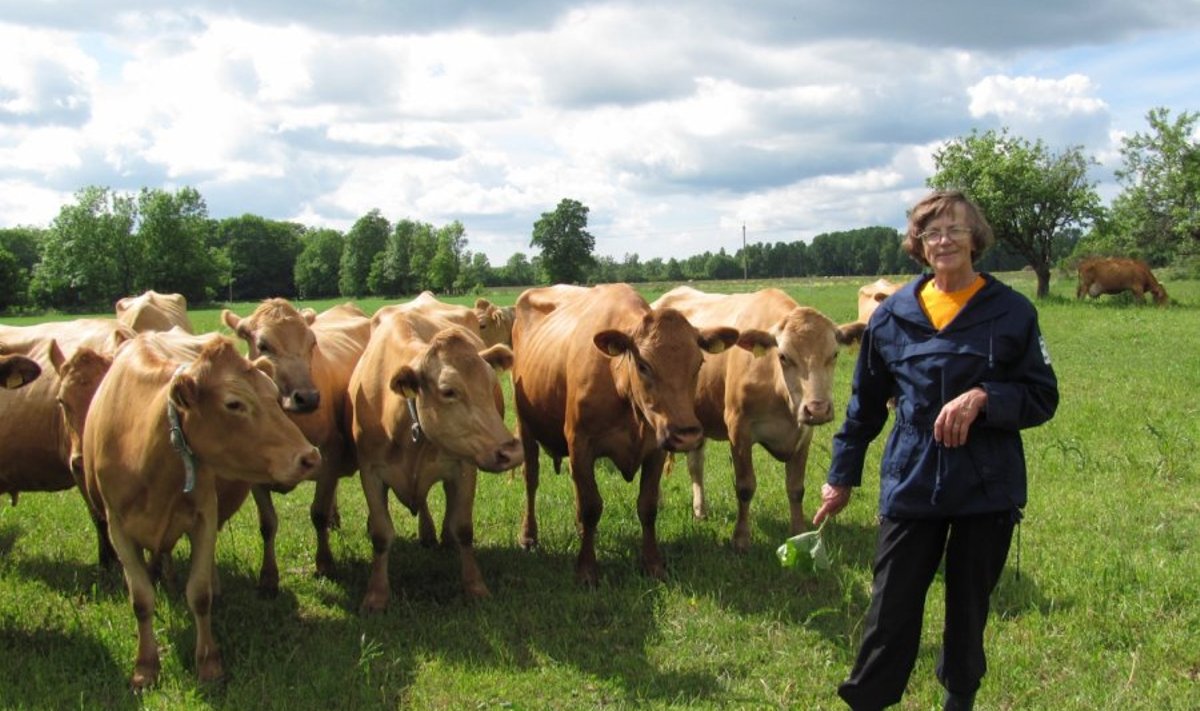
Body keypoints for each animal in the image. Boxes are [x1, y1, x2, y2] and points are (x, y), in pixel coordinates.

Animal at [84, 336, 321, 686]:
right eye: (234, 404)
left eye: (274, 395)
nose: (309, 456)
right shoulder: (117, 527)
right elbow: (141, 599)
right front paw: (145, 666)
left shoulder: (204, 517)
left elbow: (198, 594)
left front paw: (209, 662)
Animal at [220, 300, 369, 593]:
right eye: (263, 345)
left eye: (312, 343)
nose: (308, 397)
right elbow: (267, 524)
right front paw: (268, 578)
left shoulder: (331, 453)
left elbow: (318, 512)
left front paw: (324, 564)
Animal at [343, 302, 520, 607]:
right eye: (448, 391)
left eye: (491, 384)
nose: (510, 451)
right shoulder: (370, 471)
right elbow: (381, 534)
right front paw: (376, 595)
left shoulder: (464, 465)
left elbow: (464, 528)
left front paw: (475, 586)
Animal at [508, 282, 734, 583]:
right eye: (643, 365)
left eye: (698, 364)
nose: (686, 434)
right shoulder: (581, 444)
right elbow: (591, 506)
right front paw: (586, 569)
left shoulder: (655, 449)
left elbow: (647, 506)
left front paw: (652, 563)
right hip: (525, 426)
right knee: (531, 480)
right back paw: (529, 536)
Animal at [652, 284, 859, 550]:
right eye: (783, 356)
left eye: (833, 355)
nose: (817, 408)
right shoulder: (738, 429)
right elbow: (745, 486)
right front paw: (741, 538)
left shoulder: (804, 434)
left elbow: (796, 488)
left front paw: (799, 531)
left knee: (695, 465)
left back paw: (700, 510)